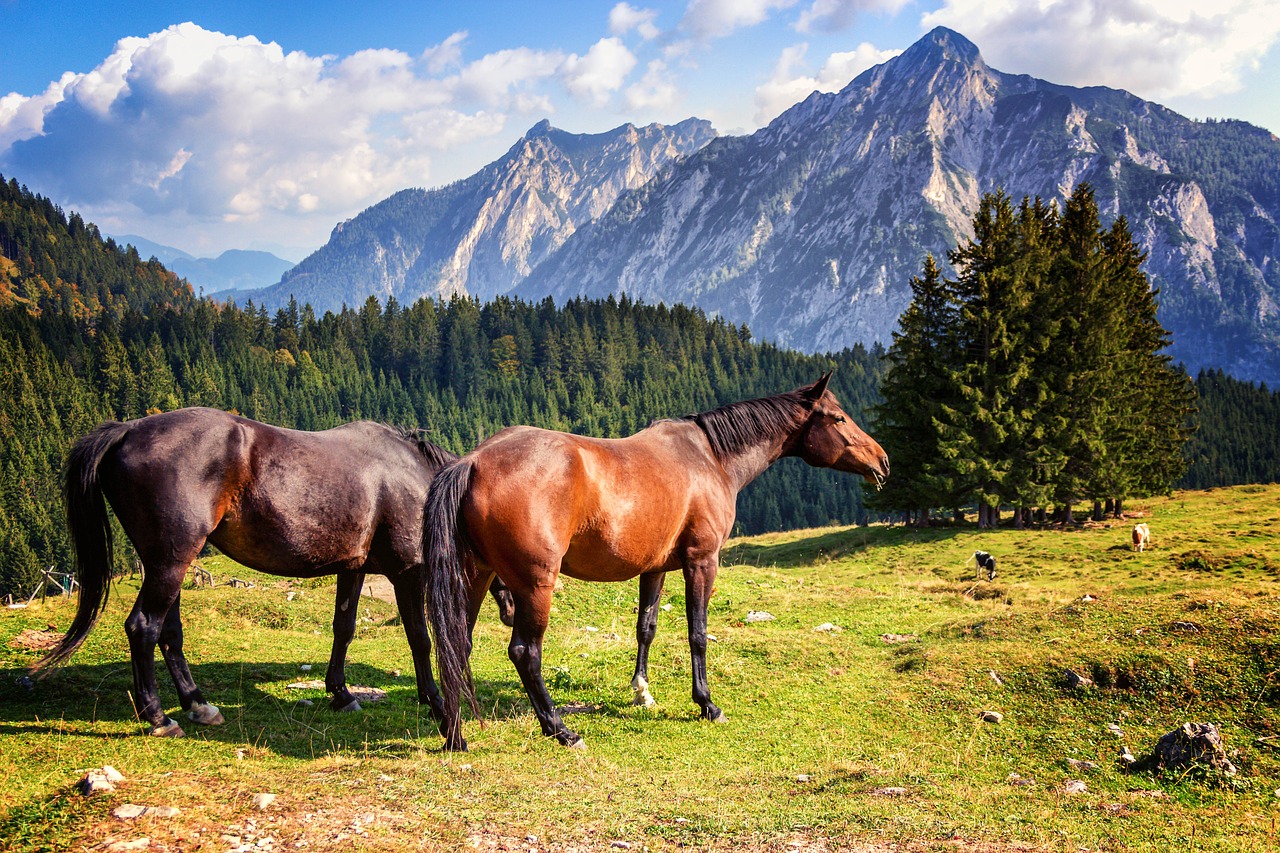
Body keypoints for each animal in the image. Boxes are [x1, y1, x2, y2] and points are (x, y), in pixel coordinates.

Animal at [31, 404, 481, 732]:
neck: (416, 477)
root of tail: (126, 430)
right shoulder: (407, 571)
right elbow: (419, 639)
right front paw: (437, 704)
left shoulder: (353, 568)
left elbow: (344, 628)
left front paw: (341, 694)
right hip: (170, 562)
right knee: (143, 627)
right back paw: (158, 718)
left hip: (167, 564)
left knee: (169, 633)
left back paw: (198, 704)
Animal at [424, 376, 885, 747]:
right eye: (839, 418)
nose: (882, 461)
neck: (709, 458)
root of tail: (474, 461)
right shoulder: (702, 561)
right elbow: (698, 633)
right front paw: (707, 704)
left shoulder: (656, 568)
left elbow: (646, 627)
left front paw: (642, 692)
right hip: (534, 586)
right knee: (525, 652)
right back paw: (560, 730)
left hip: (476, 576)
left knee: (458, 645)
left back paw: (454, 733)